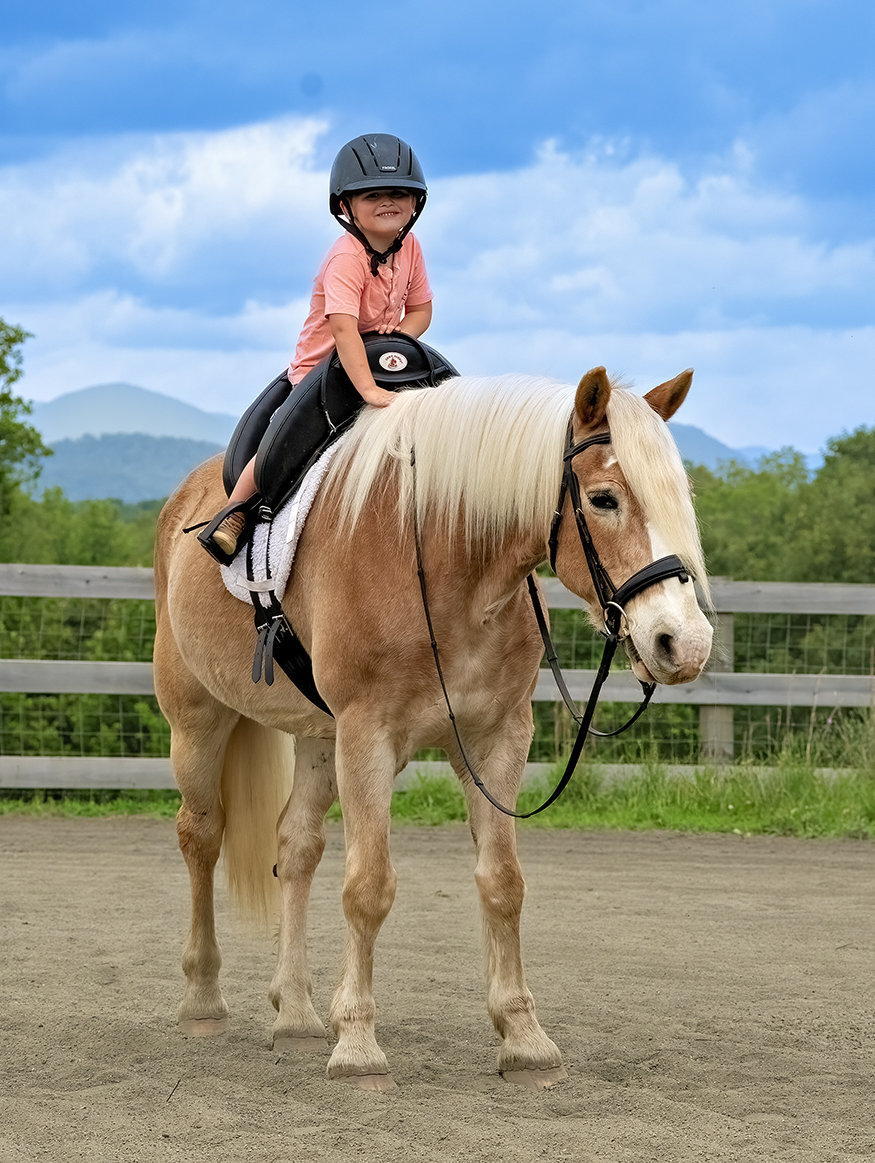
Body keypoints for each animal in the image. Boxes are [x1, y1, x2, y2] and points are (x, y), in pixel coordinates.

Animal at [152, 364, 713, 1091]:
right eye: (603, 498)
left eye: (680, 498)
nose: (684, 642)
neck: (448, 563)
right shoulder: (368, 737)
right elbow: (369, 887)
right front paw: (358, 1045)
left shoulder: (497, 740)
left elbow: (503, 882)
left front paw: (524, 1037)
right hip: (198, 718)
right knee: (201, 836)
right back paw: (202, 999)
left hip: (317, 739)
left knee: (296, 847)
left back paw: (297, 1013)